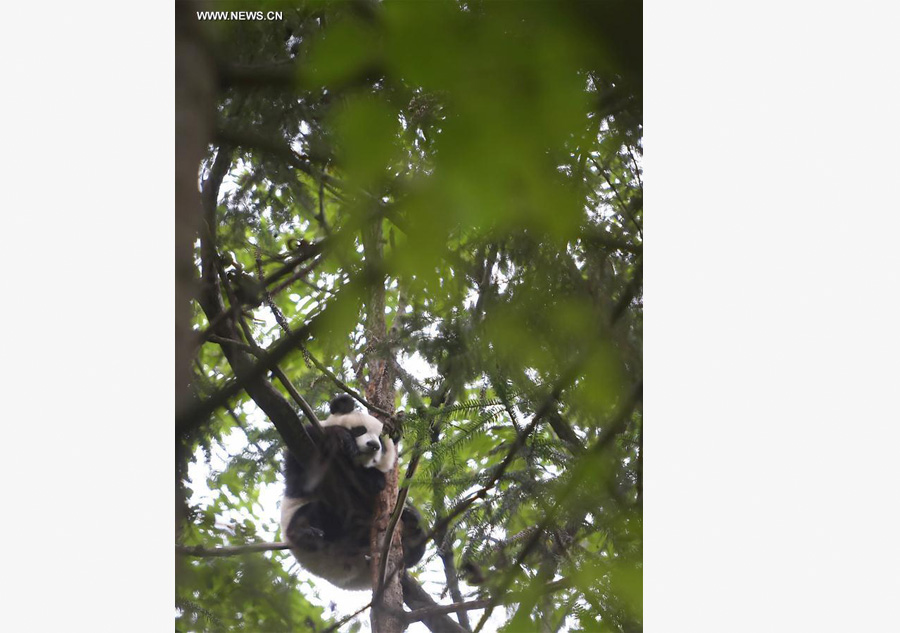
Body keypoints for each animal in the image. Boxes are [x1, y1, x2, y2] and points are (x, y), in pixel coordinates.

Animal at [280, 392, 428, 592]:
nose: (373, 445)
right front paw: (342, 438)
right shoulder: (305, 444)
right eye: (360, 430)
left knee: (417, 542)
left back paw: (412, 527)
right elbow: (301, 474)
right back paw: (304, 532)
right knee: (316, 510)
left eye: (381, 440)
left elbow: (376, 486)